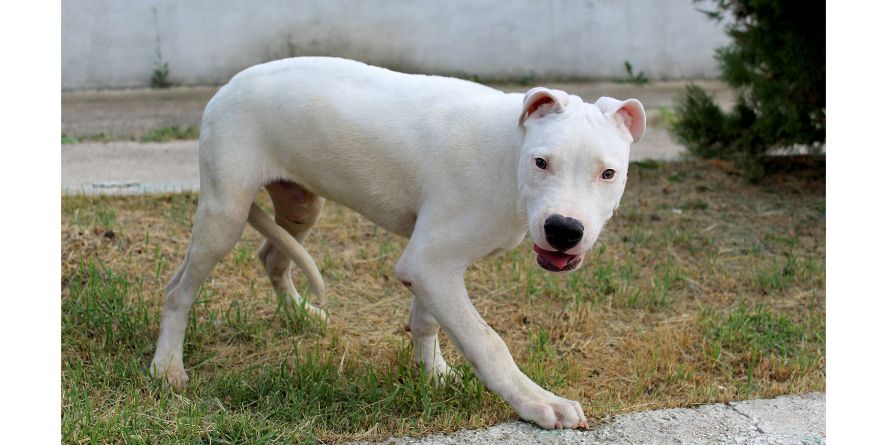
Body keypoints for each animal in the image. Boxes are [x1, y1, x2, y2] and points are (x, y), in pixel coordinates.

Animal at [149, 55, 640, 426]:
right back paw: (167, 367)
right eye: (542, 163)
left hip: (302, 204)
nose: (564, 229)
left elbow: (426, 322)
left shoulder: (430, 266)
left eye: (608, 173)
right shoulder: (430, 263)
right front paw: (538, 402)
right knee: (178, 291)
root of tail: (227, 85)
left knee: (272, 255)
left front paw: (434, 376)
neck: (510, 154)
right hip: (224, 214)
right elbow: (486, 341)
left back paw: (300, 313)